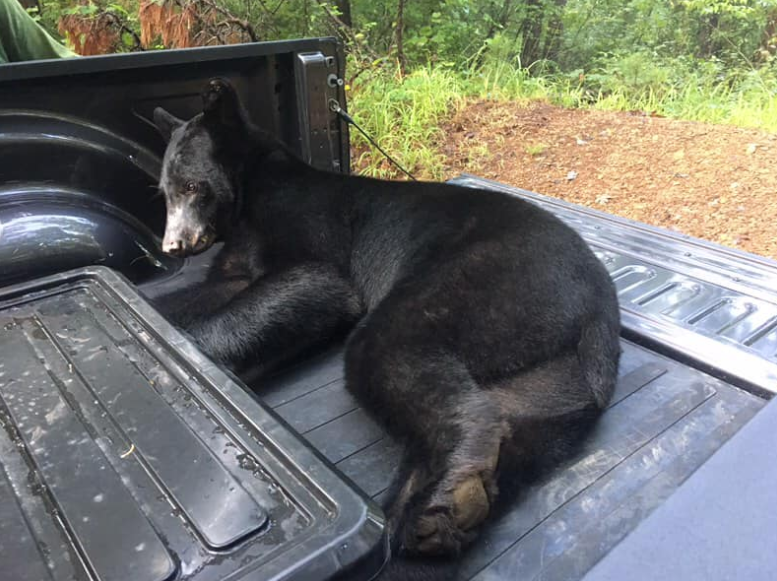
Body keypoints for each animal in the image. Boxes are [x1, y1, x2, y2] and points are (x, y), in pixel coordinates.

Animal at [152, 79, 620, 576]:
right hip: (551, 374)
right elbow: (208, 290)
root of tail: (598, 309)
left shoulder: (307, 222)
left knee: (389, 346)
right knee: (522, 421)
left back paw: (440, 498)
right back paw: (439, 508)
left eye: (193, 186)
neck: (251, 192)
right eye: (164, 193)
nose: (173, 245)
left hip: (492, 280)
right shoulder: (236, 258)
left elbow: (319, 283)